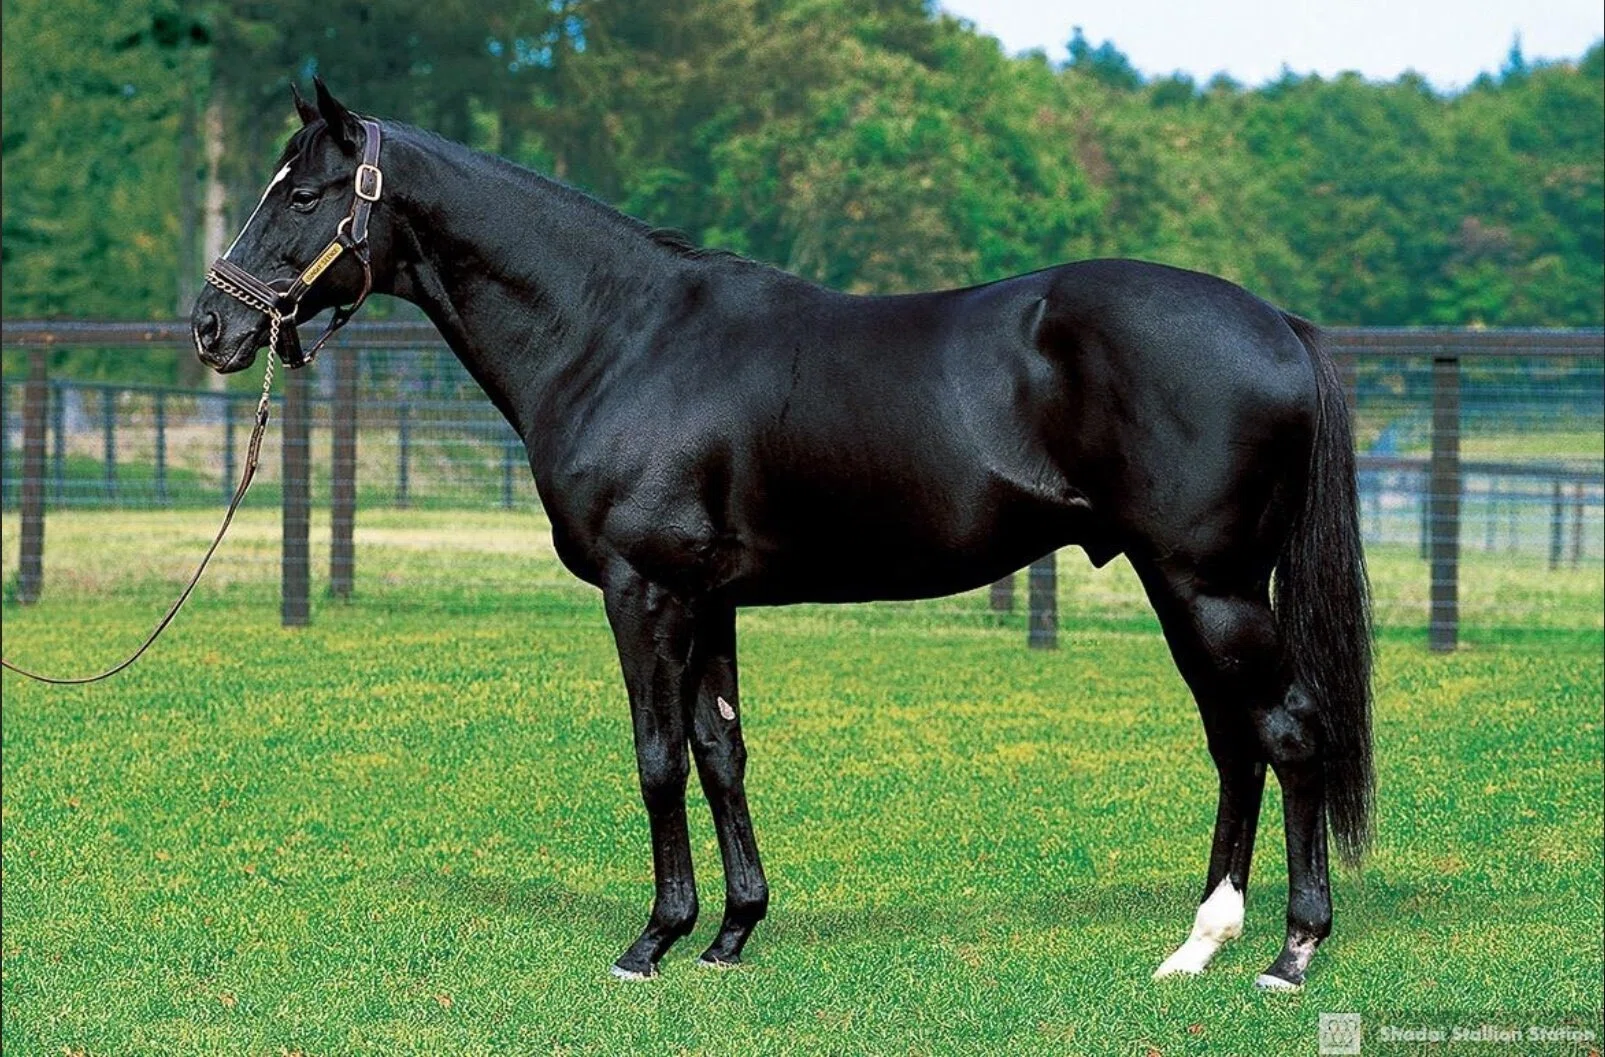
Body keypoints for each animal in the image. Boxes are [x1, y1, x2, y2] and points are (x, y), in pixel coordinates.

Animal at [191, 80, 1372, 990]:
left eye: (303, 193)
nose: (214, 326)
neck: (620, 335)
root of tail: (1278, 325)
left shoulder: (644, 589)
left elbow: (657, 756)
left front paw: (651, 942)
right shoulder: (708, 596)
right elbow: (722, 751)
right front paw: (731, 931)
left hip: (1211, 584)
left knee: (1287, 732)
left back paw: (1290, 953)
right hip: (1186, 586)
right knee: (1235, 742)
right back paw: (1197, 946)